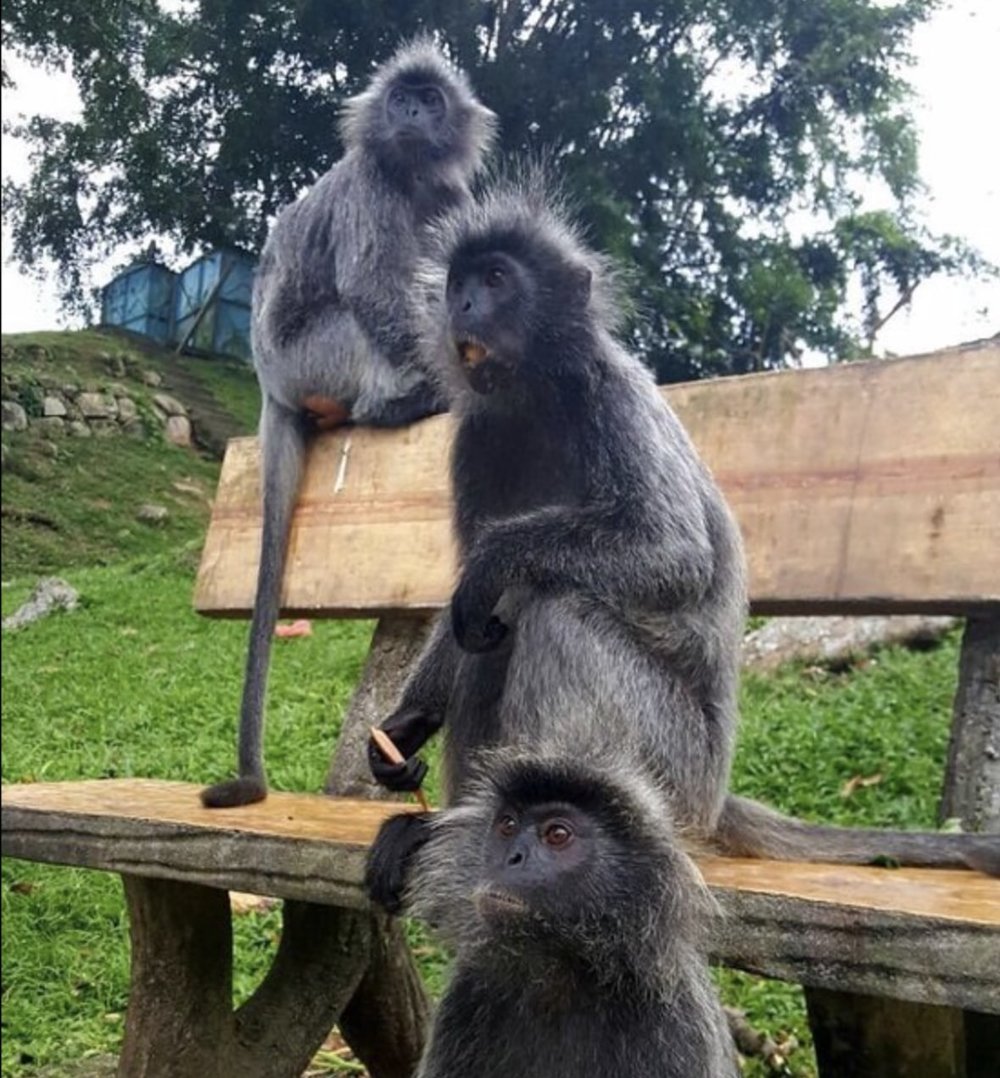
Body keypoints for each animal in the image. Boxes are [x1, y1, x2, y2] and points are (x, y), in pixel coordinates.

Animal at [200, 38, 497, 808]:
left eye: (431, 100)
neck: (411, 177)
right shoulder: (371, 185)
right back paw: (404, 402)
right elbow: (373, 288)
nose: (414, 113)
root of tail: (267, 382)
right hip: (312, 358)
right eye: (402, 100)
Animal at [366, 743, 740, 1078]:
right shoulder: (464, 998)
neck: (559, 974)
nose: (513, 857)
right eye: (507, 825)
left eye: (557, 833)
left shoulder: (677, 1023)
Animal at [367, 171, 1000, 877]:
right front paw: (405, 724)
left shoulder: (614, 400)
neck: (538, 398)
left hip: (676, 769)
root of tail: (713, 800)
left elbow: (674, 558)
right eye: (459, 284)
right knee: (494, 632)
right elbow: (467, 608)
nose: (466, 307)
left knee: (554, 607)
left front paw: (495, 558)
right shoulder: (478, 436)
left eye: (497, 278)